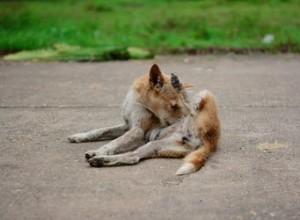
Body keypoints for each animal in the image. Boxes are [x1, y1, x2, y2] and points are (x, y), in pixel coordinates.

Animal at [86, 89, 220, 175]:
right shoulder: (129, 127)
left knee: (191, 107)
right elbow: (100, 131)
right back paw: (99, 160)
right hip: (155, 145)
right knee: (132, 157)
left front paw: (99, 150)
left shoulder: (137, 131)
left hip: (206, 96)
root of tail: (211, 139)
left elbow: (114, 142)